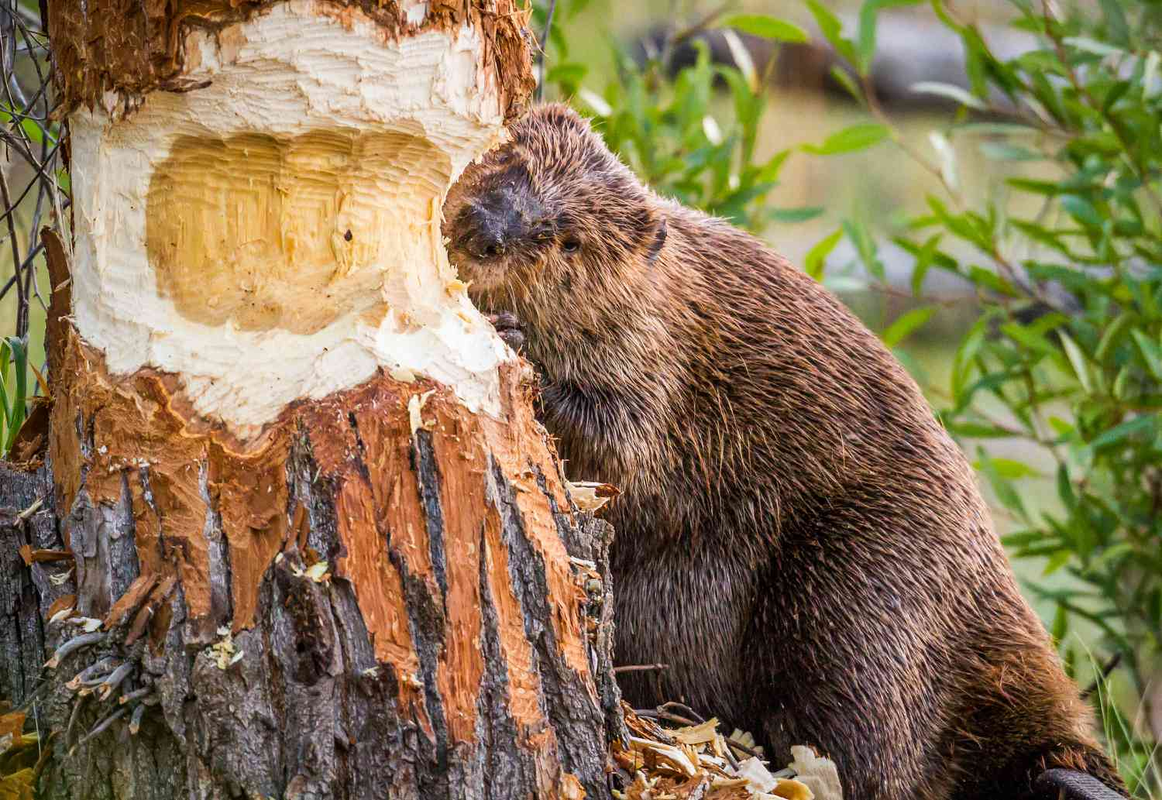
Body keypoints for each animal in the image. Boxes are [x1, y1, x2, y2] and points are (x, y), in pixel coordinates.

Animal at [441, 104, 1124, 800]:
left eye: (570, 239)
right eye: (509, 159)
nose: (485, 231)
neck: (667, 288)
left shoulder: (661, 356)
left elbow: (626, 448)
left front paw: (515, 340)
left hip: (860, 587)